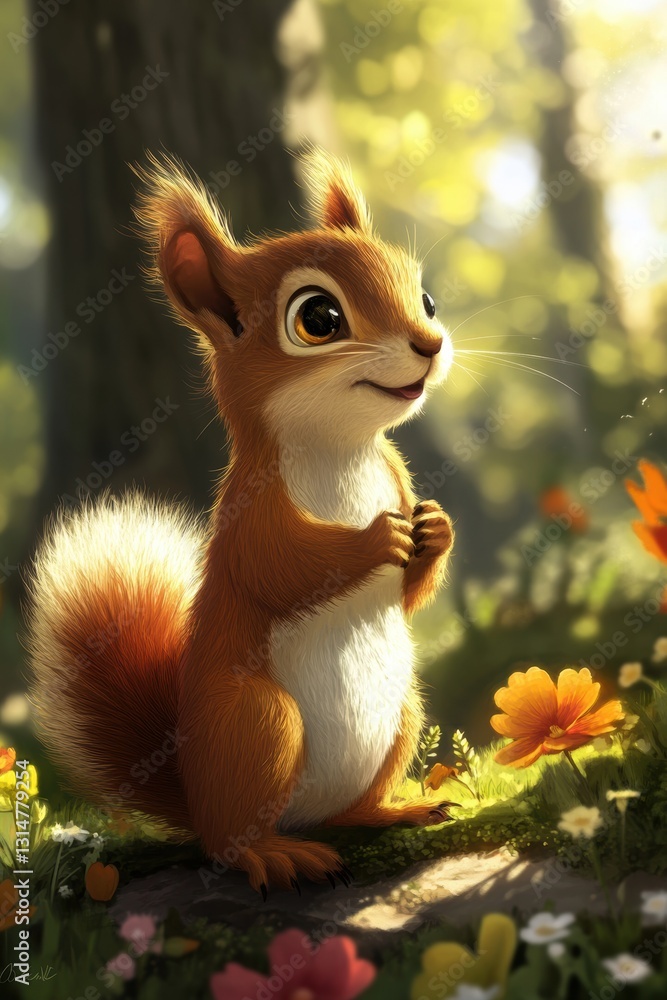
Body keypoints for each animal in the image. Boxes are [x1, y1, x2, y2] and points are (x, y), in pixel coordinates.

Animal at [27, 149, 456, 895]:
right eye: (319, 317)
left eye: (425, 298)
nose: (429, 341)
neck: (342, 449)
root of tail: (197, 800)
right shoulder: (250, 514)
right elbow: (281, 569)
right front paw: (380, 537)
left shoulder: (392, 475)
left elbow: (409, 592)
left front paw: (434, 528)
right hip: (257, 724)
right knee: (232, 842)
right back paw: (276, 857)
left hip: (402, 712)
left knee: (347, 809)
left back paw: (391, 811)